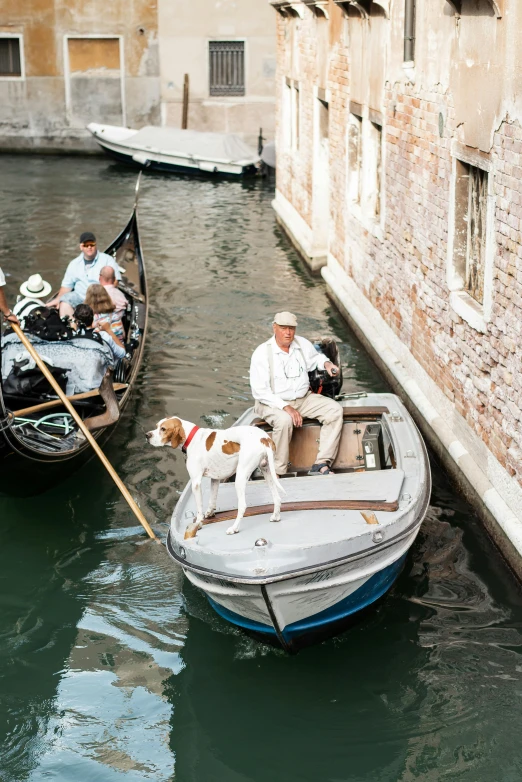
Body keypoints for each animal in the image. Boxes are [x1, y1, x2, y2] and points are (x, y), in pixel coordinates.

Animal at [145, 416, 284, 540]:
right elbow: (212, 499)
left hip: (240, 477)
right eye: (157, 426)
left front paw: (199, 523)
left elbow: (199, 508)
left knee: (243, 506)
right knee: (277, 497)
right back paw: (276, 516)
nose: (147, 435)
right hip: (267, 472)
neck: (192, 438)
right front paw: (209, 513)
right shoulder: (216, 479)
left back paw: (234, 528)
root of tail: (265, 439)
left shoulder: (196, 482)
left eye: (163, 429)